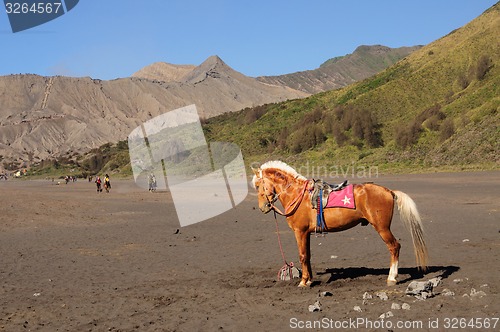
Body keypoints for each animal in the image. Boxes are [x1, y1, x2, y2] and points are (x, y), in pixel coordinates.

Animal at [252, 161, 428, 288]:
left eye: (258, 185)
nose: (263, 207)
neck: (297, 195)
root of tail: (389, 191)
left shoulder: (299, 232)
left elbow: (302, 256)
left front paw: (303, 282)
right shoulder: (306, 233)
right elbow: (308, 256)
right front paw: (309, 279)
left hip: (382, 228)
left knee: (394, 247)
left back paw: (392, 278)